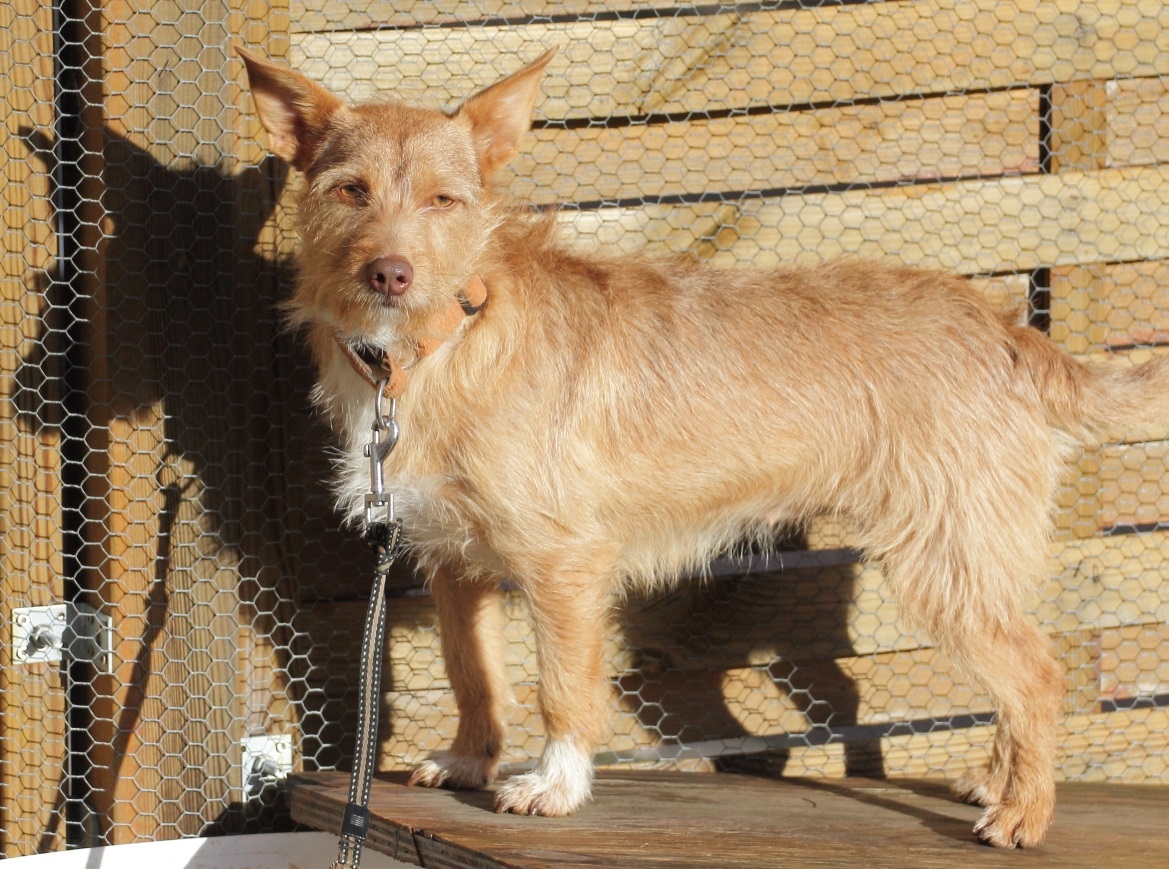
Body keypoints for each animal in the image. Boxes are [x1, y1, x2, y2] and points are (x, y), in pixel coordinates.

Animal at [239, 47, 1169, 847]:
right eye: (350, 191)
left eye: (443, 201)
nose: (388, 274)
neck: (447, 340)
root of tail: (1004, 327)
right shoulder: (453, 562)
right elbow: (475, 675)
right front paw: (471, 758)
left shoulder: (562, 565)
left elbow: (561, 686)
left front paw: (556, 784)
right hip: (960, 561)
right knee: (975, 671)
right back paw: (997, 779)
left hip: (945, 556)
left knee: (1036, 672)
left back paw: (1023, 812)